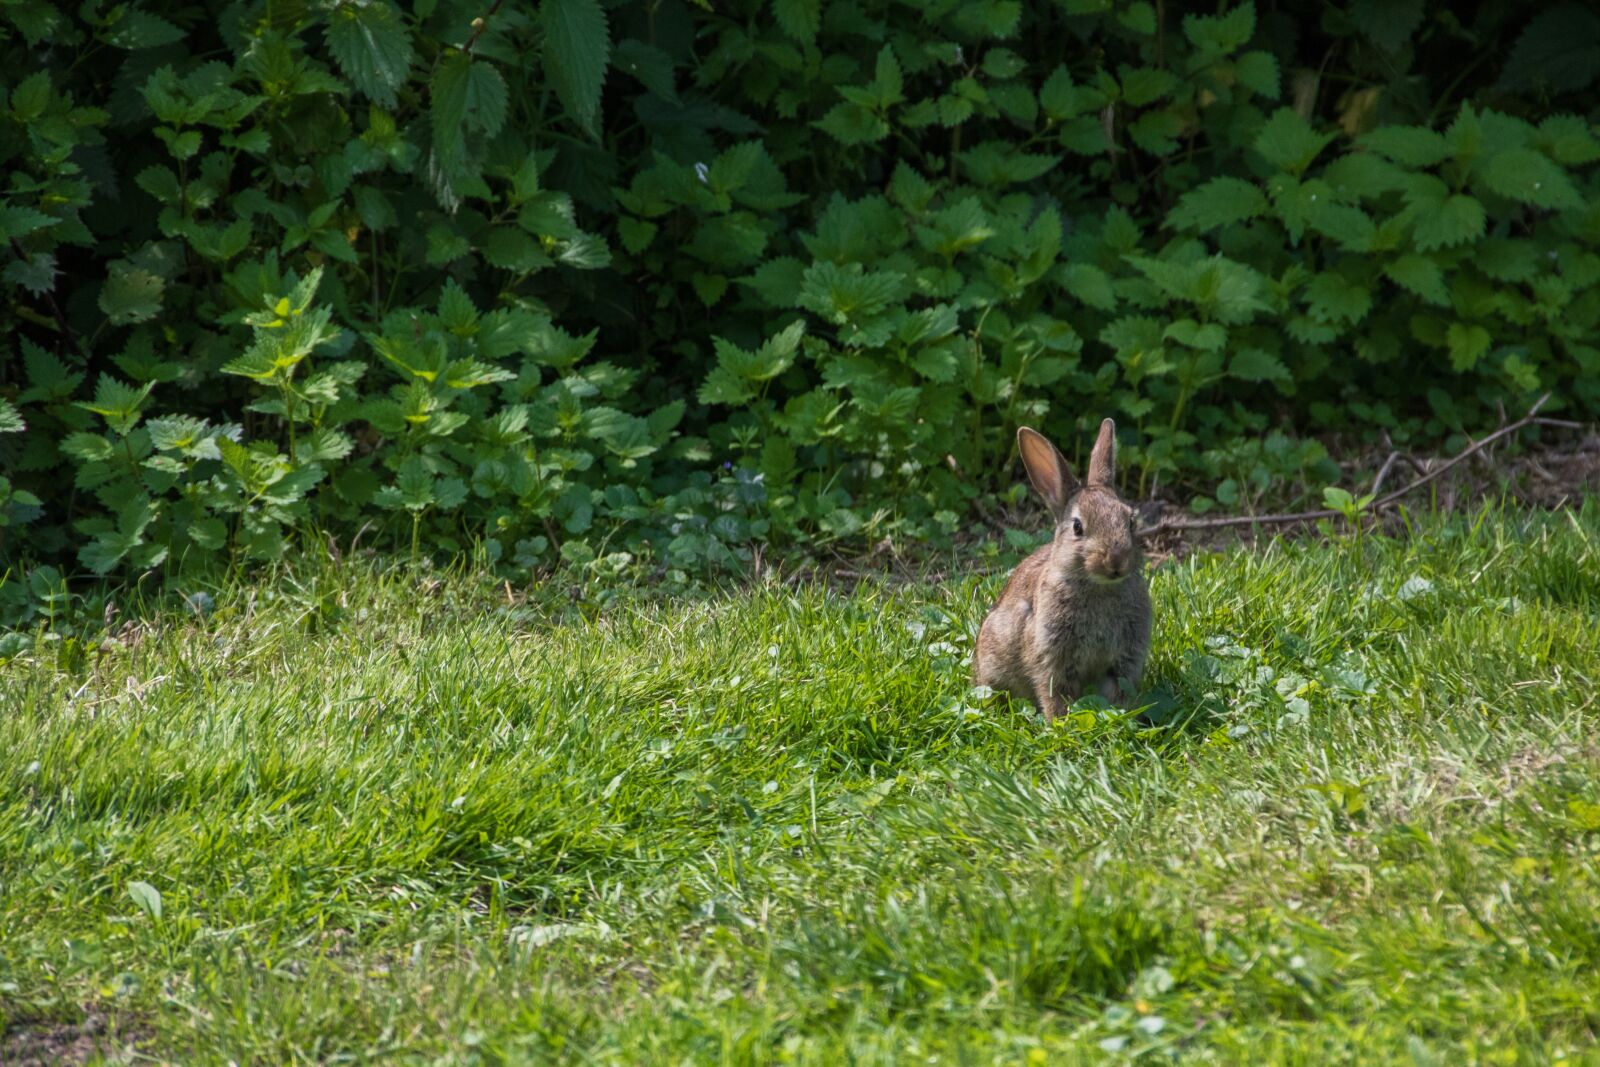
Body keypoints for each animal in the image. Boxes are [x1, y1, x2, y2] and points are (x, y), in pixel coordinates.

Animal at [972, 418, 1151, 723]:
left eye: (1130, 521)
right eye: (1077, 527)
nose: (1116, 561)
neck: (1098, 586)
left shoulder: (1125, 658)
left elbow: (1118, 691)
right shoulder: (1052, 656)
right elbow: (1055, 693)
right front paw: (1060, 722)